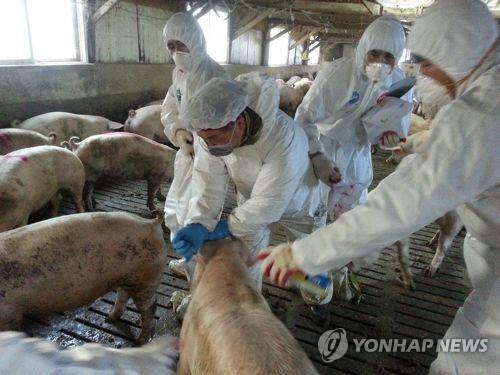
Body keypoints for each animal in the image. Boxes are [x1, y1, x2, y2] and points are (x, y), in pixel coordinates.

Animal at [0, 213, 168, 346]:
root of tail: (151, 223)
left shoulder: (9, 313)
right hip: (128, 277)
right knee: (123, 295)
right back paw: (109, 319)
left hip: (146, 280)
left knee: (150, 308)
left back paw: (139, 341)